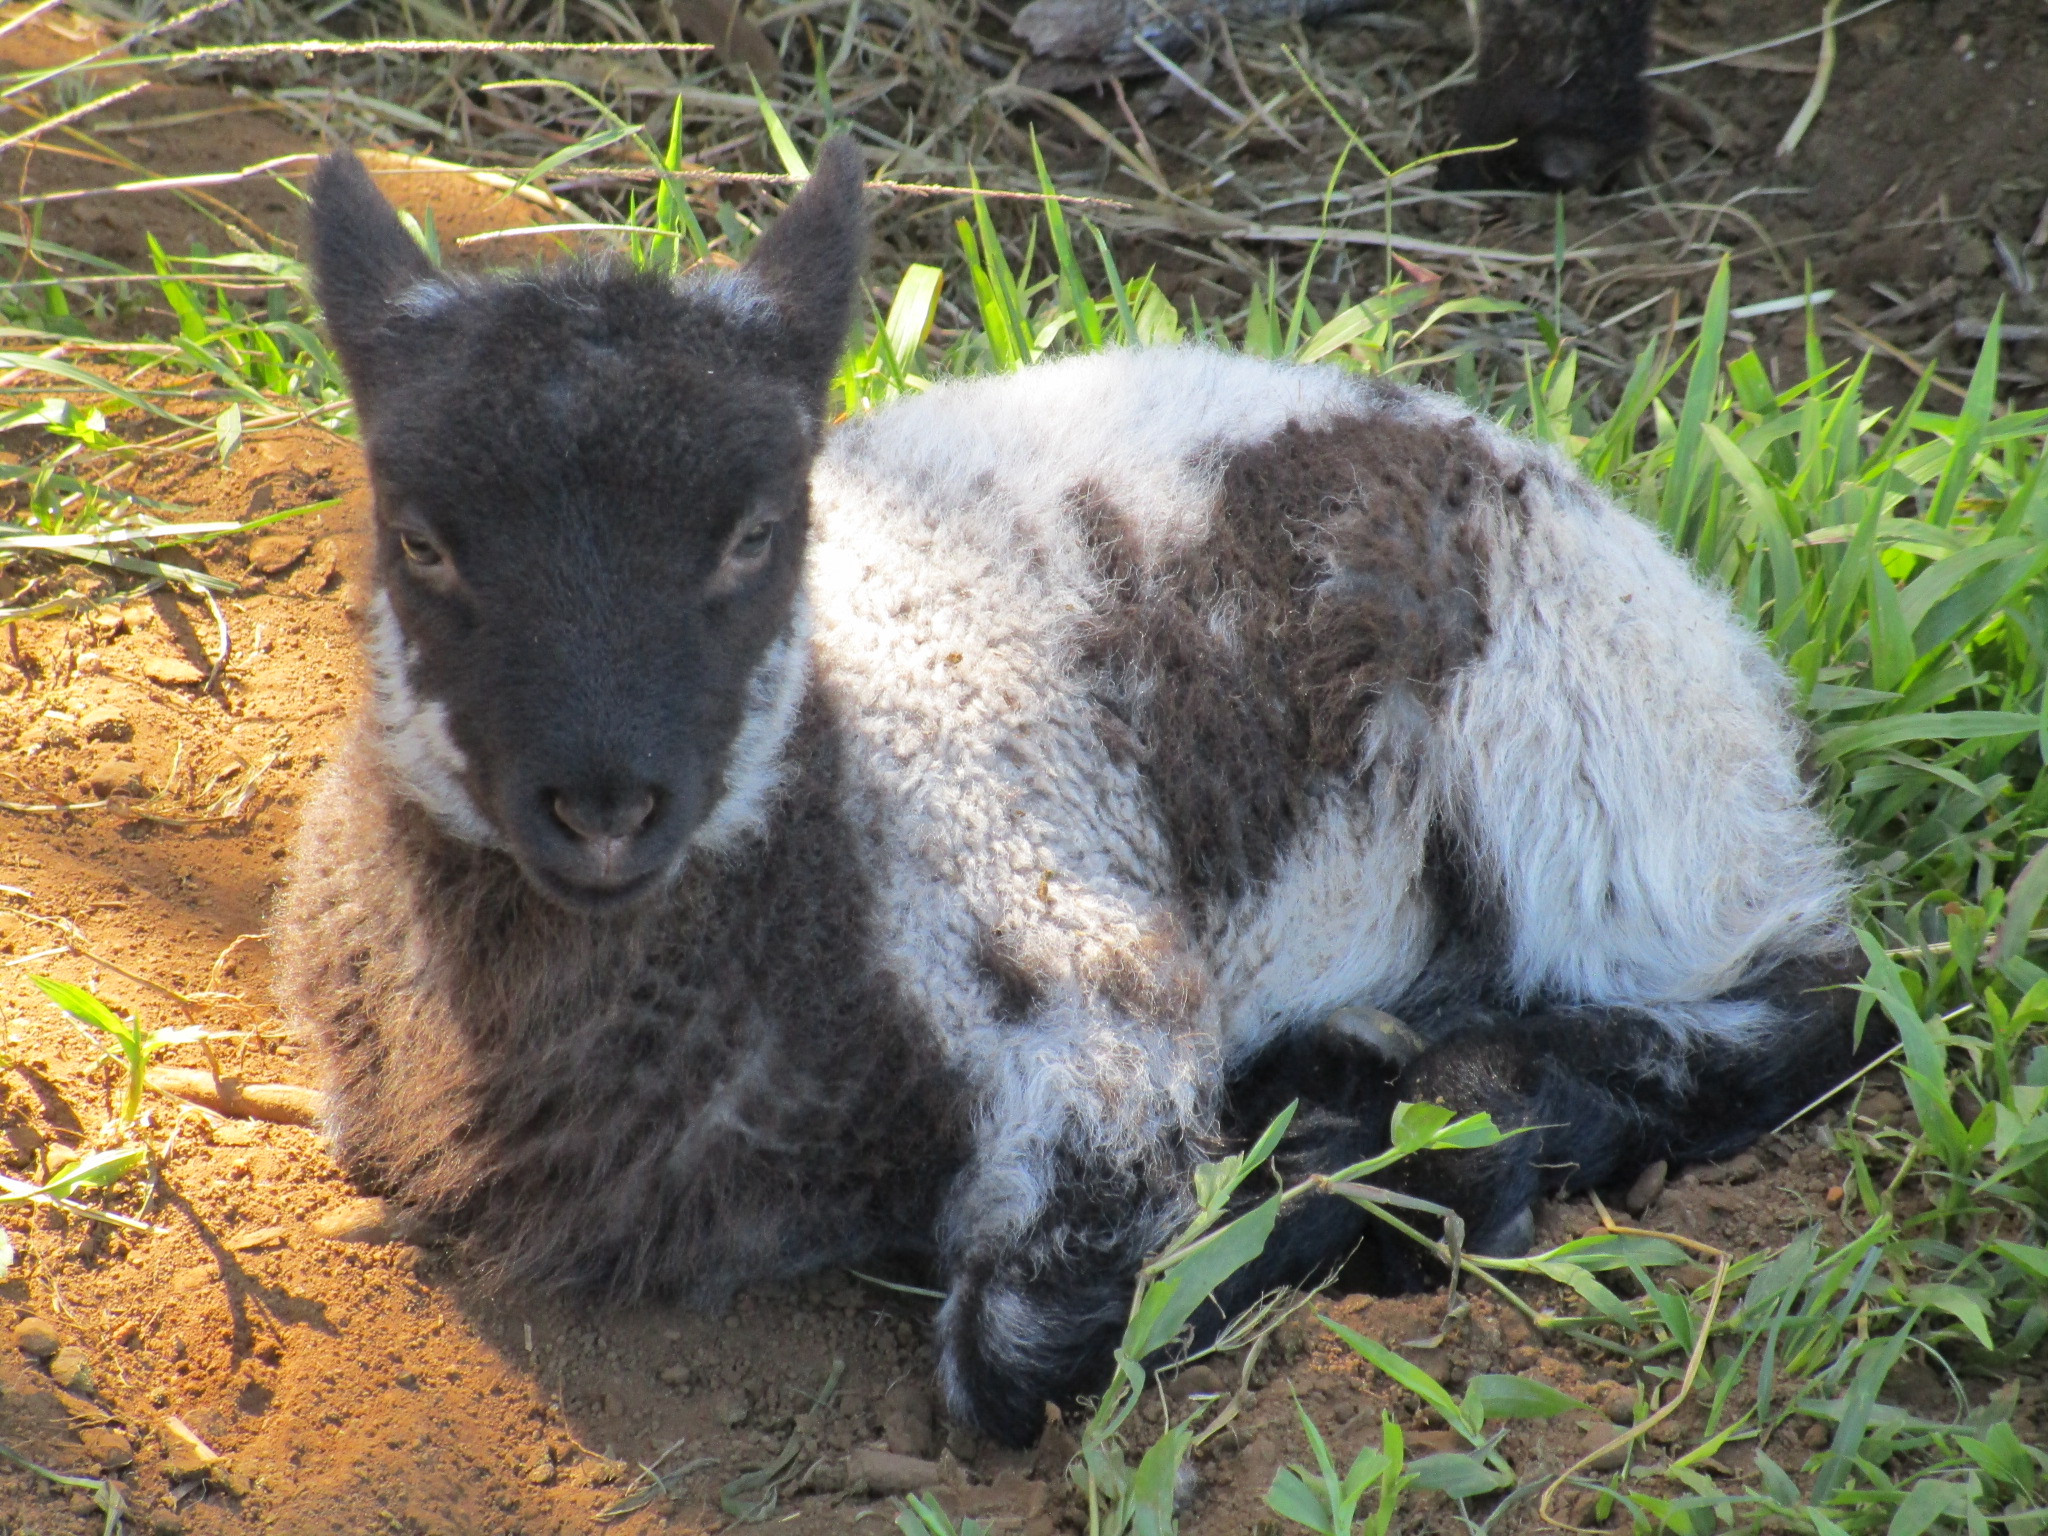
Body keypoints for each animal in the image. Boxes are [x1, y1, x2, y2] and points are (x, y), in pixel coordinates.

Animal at [284, 138, 1875, 1449]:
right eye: (418, 539)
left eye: (755, 533)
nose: (606, 804)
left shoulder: (1078, 984)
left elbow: (1026, 1353)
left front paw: (1340, 1168)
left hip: (1603, 758)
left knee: (1803, 1004)